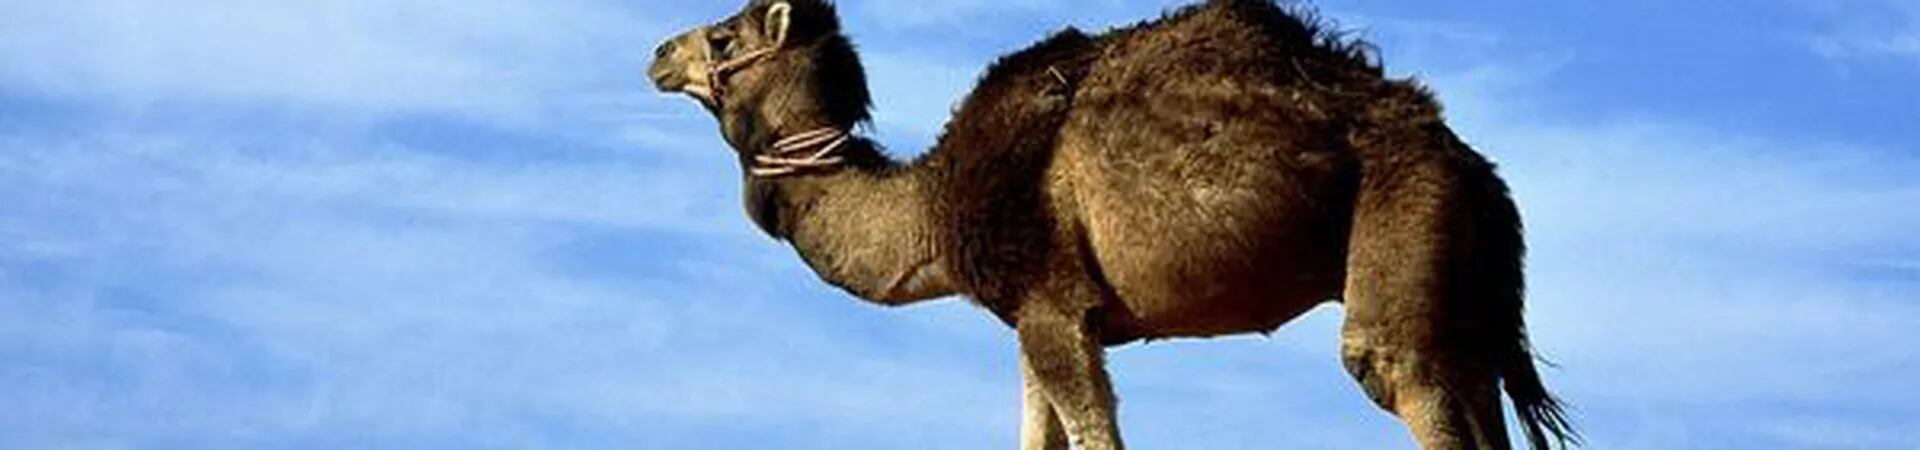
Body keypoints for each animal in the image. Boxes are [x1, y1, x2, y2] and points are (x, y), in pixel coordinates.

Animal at [646, 1, 1576, 448]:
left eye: (722, 36)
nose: (657, 54)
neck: (929, 210)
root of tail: (1469, 160)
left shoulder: (1055, 305)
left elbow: (1094, 437)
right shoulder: (1033, 315)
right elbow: (1038, 438)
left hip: (1405, 216)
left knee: (1395, 372)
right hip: (1460, 271)